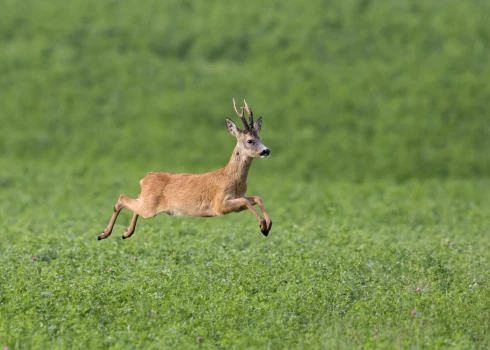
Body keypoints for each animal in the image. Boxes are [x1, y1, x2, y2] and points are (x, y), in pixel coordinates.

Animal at [95, 98, 272, 241]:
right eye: (250, 141)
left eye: (260, 138)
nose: (266, 151)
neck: (232, 178)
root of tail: (145, 178)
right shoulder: (219, 204)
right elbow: (246, 200)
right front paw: (263, 225)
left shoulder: (236, 200)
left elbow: (256, 198)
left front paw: (267, 225)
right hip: (149, 207)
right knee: (122, 198)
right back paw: (103, 234)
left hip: (147, 202)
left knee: (134, 201)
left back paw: (126, 233)